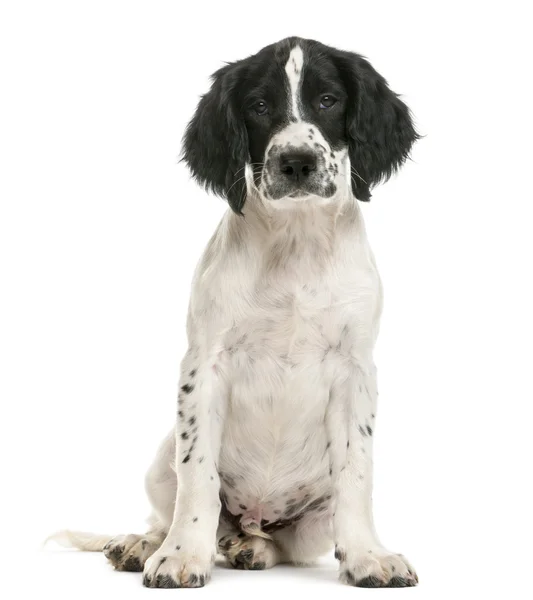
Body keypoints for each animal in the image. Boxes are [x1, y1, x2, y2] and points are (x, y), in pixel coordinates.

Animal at [53, 37, 420, 592]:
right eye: (260, 106)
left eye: (329, 100)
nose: (295, 163)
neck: (295, 242)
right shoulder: (205, 364)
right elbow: (198, 474)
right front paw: (181, 554)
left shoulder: (356, 370)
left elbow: (356, 473)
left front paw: (368, 556)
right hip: (159, 463)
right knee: (170, 509)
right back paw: (145, 545)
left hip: (308, 523)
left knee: (282, 543)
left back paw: (251, 547)